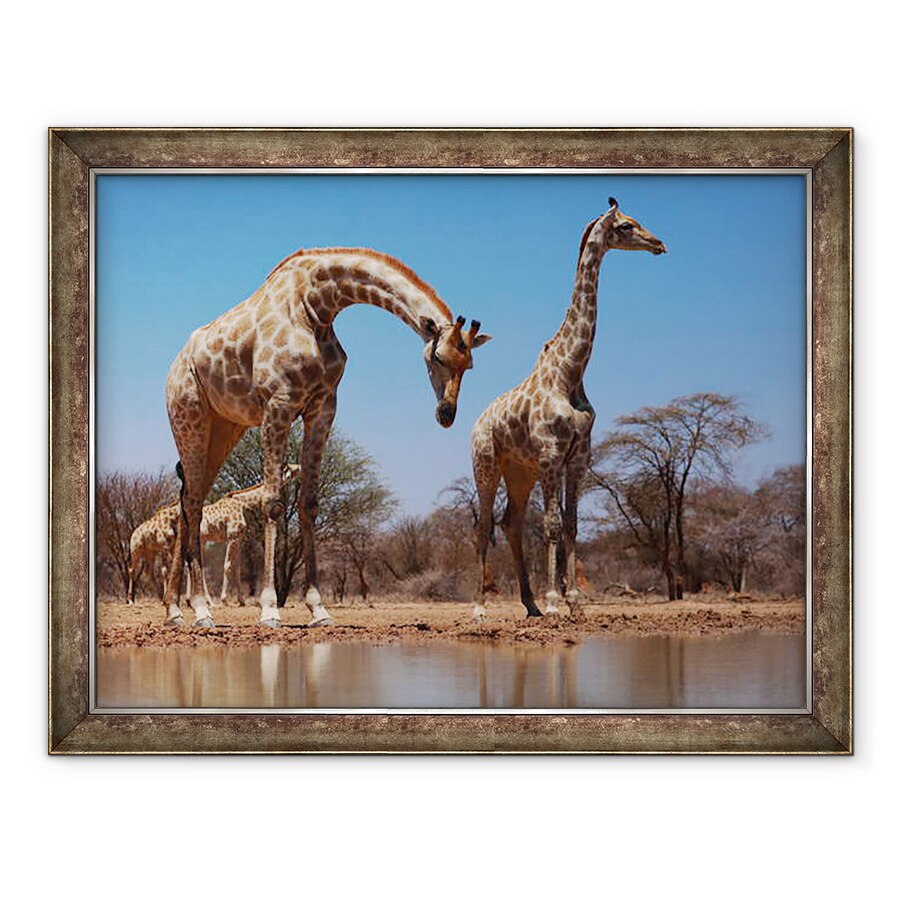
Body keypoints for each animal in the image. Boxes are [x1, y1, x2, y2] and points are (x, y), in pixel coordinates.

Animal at [127, 465, 302, 605]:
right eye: (286, 473)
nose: (296, 470)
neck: (244, 505)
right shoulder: (231, 537)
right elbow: (227, 565)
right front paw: (224, 599)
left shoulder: (238, 539)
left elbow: (237, 568)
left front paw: (241, 600)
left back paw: (188, 599)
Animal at [164, 248, 491, 628]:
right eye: (437, 356)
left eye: (469, 366)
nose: (446, 414)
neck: (316, 307)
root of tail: (175, 366)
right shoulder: (278, 404)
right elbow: (273, 502)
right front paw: (269, 609)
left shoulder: (322, 408)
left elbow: (309, 503)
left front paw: (318, 609)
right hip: (190, 419)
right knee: (192, 503)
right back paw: (201, 610)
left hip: (224, 428)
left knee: (188, 499)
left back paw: (175, 611)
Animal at [470, 198, 666, 621]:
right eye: (626, 226)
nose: (659, 244)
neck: (570, 372)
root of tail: (476, 423)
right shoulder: (550, 455)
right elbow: (552, 525)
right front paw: (555, 600)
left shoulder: (577, 458)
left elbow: (572, 525)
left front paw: (574, 600)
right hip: (486, 465)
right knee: (483, 525)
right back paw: (480, 608)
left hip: (520, 472)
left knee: (510, 523)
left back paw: (529, 605)